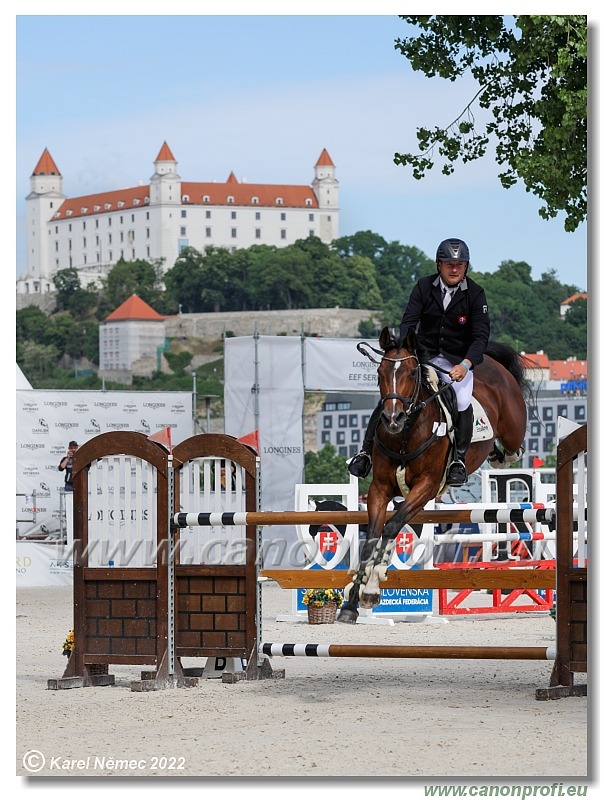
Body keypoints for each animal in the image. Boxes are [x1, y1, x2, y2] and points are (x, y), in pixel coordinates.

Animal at [338, 324, 532, 624]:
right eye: (380, 372)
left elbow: (392, 527)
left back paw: (498, 457)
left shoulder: (426, 487)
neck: (406, 433)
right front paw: (351, 604)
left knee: (515, 448)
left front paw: (371, 589)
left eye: (411, 373)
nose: (392, 419)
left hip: (513, 428)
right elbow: (371, 538)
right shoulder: (380, 489)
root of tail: (491, 362)